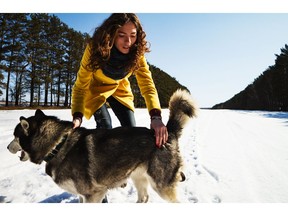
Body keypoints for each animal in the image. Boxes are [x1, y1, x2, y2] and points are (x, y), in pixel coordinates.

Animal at [8, 89, 198, 202]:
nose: (7, 148)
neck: (58, 145)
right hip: (138, 177)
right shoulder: (82, 195)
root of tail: (168, 132)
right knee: (143, 198)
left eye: (15, 136)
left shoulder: (94, 194)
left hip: (162, 186)